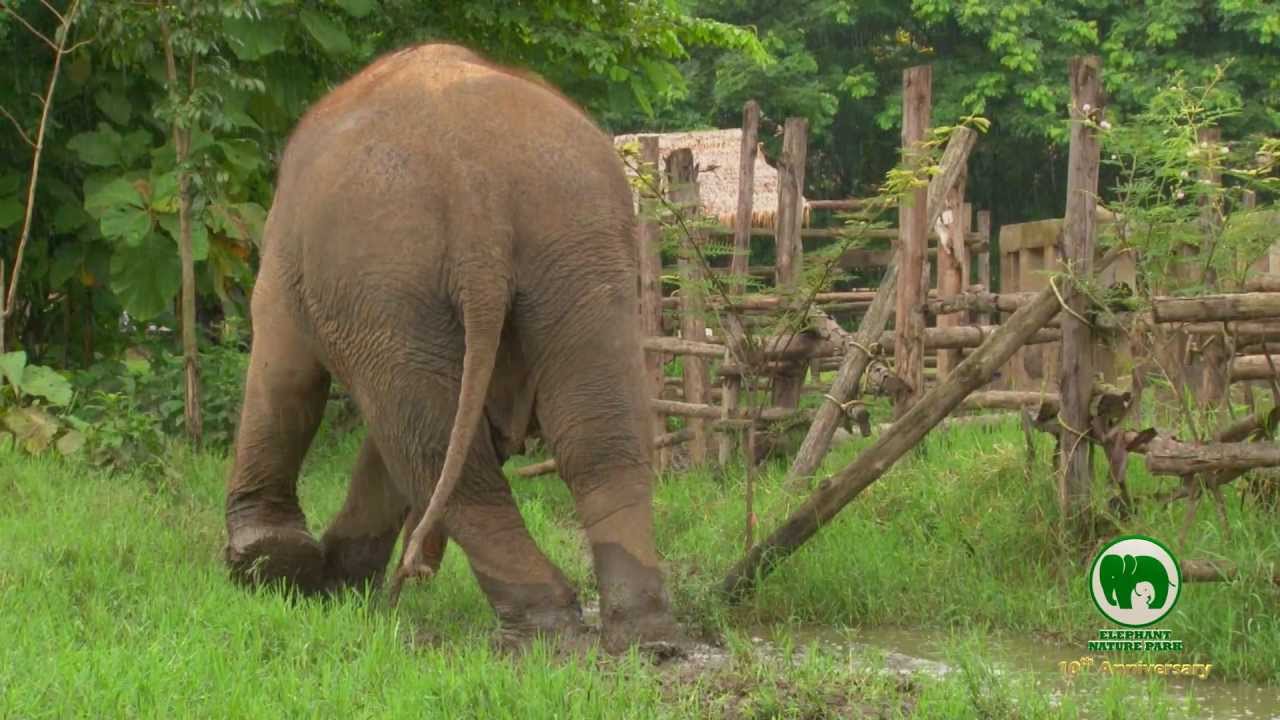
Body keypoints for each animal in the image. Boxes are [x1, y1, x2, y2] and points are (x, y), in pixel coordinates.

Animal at [222, 43, 679, 653]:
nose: (420, 570)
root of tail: (474, 187)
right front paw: (330, 581)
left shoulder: (284, 259)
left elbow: (285, 369)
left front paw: (276, 570)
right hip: (576, 248)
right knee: (597, 431)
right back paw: (642, 635)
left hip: (385, 272)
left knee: (429, 445)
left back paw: (540, 629)